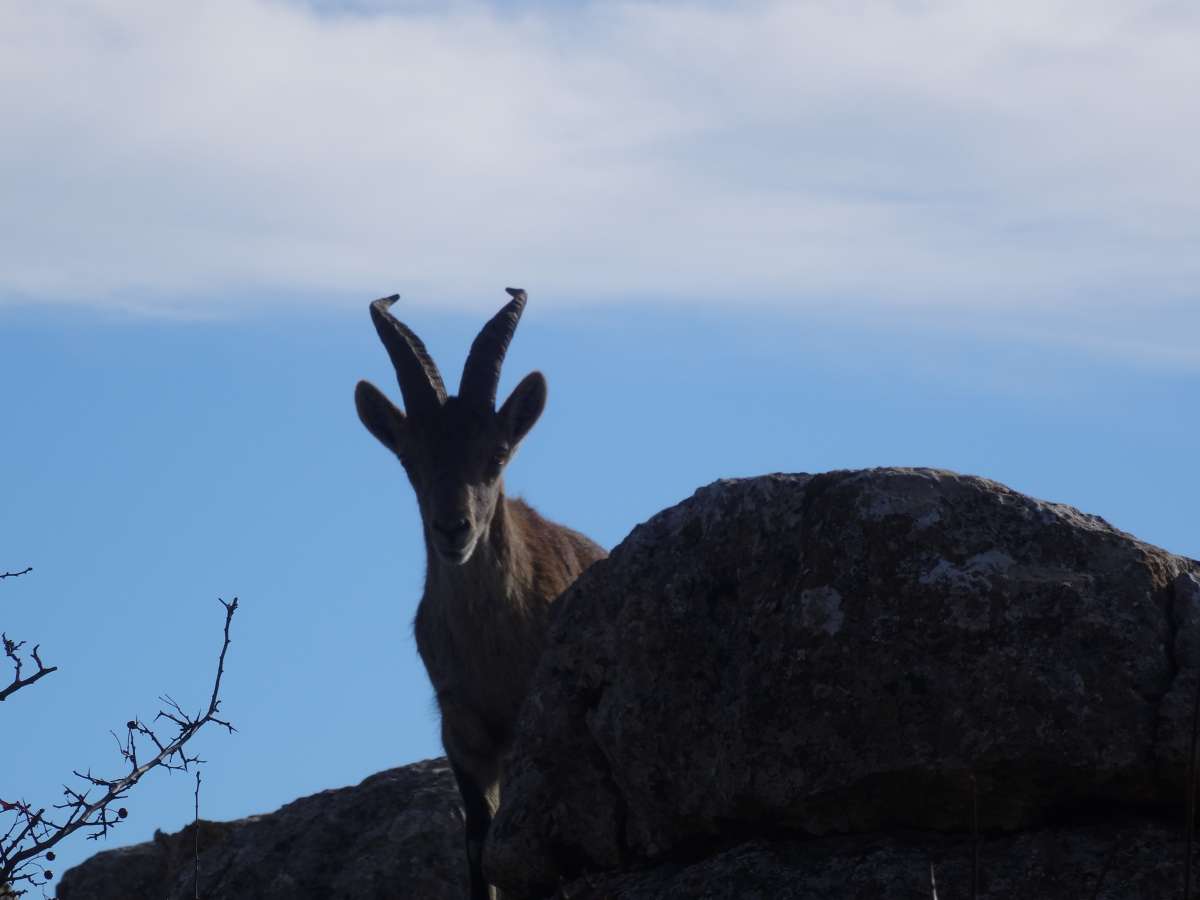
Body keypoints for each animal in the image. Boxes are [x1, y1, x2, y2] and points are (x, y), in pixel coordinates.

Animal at [354, 288, 607, 900]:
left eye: (497, 454)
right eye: (410, 459)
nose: (453, 529)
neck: (491, 648)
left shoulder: (526, 729)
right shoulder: (461, 730)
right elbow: (477, 844)